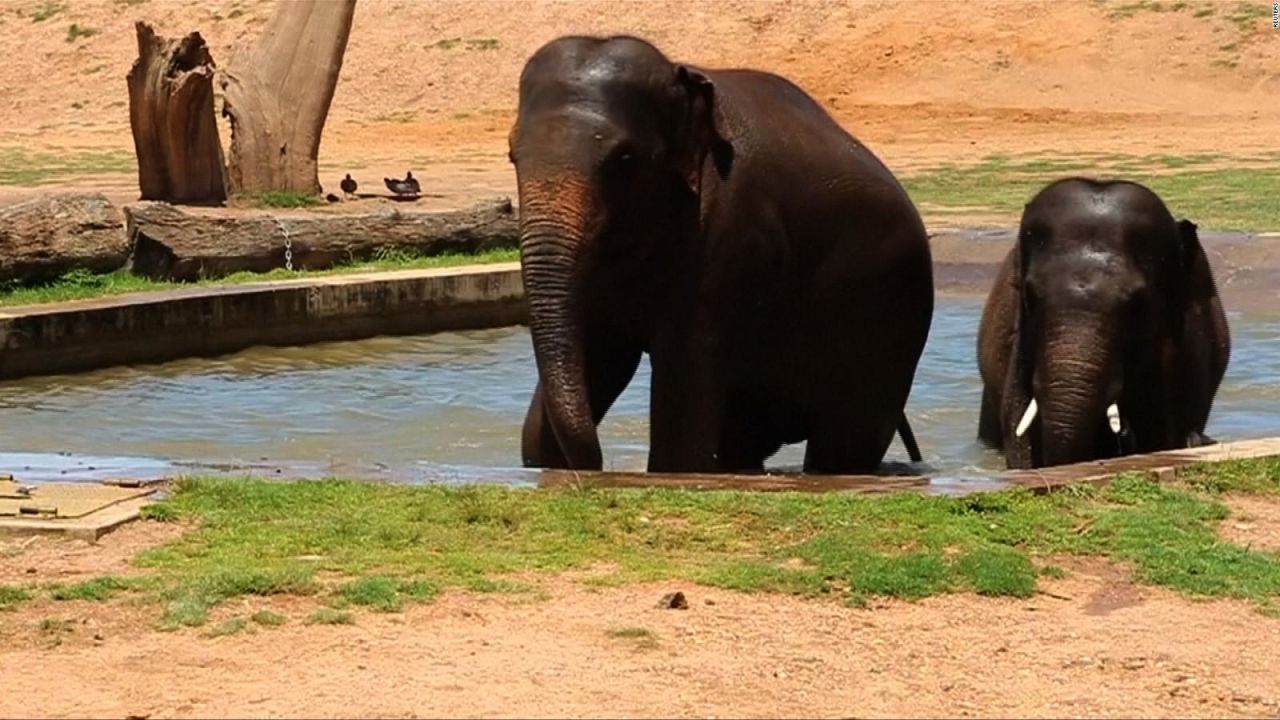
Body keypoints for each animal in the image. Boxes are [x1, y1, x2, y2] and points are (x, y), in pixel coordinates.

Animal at [504, 35, 936, 471]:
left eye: (624, 159)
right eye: (511, 155)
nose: (598, 465)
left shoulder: (730, 239)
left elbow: (681, 437)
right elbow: (597, 356)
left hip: (887, 318)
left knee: (844, 443)